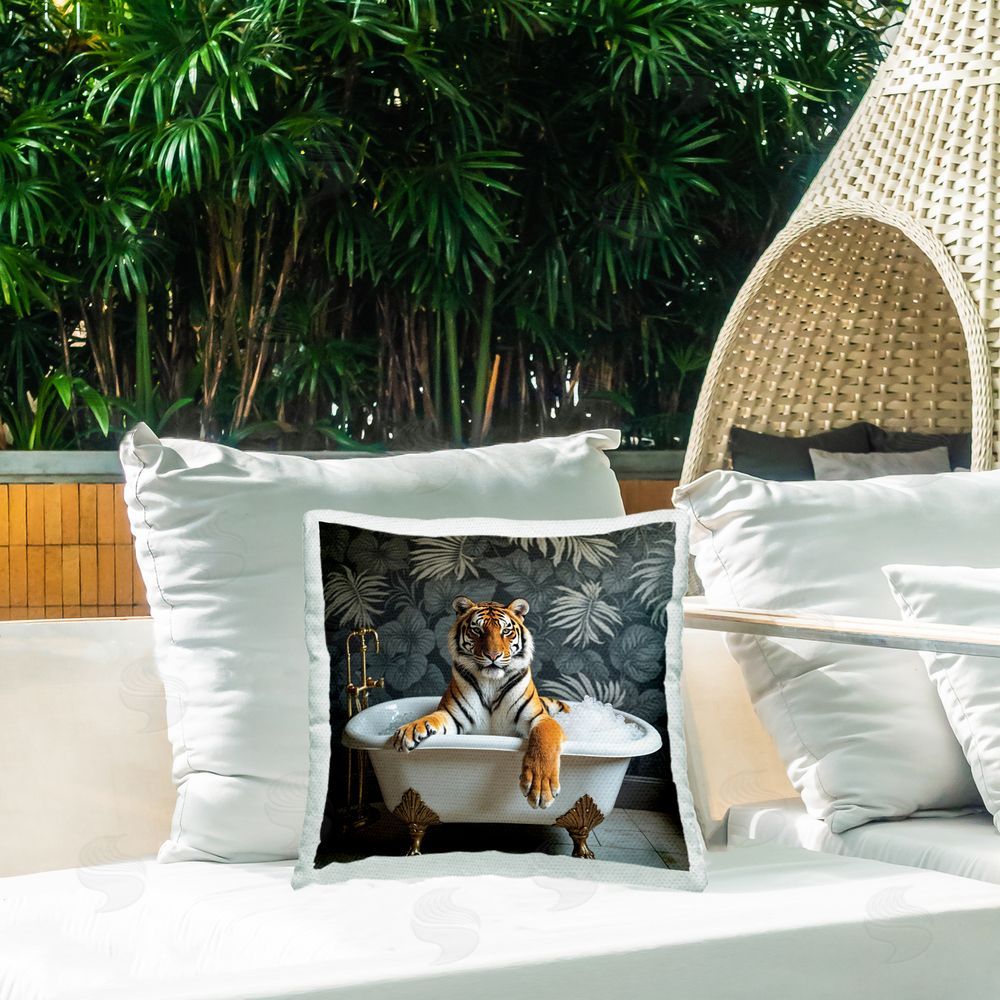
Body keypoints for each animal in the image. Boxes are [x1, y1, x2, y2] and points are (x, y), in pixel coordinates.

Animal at [391, 596, 570, 809]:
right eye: (477, 630)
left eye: (506, 631)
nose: (493, 656)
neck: (491, 681)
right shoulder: (452, 716)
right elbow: (431, 718)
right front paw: (409, 730)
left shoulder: (539, 718)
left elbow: (543, 741)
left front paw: (541, 787)